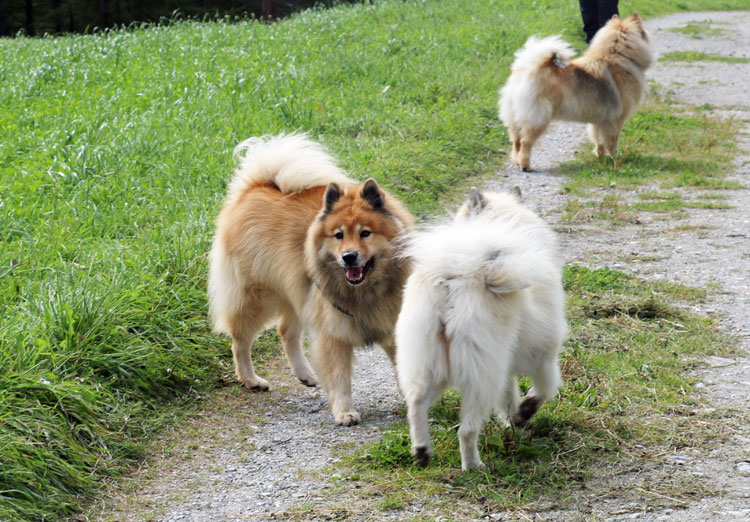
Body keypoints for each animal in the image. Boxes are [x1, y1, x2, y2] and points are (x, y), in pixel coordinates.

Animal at [209, 133, 414, 422]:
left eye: (365, 233)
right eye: (339, 235)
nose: (348, 257)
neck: (366, 290)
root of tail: (256, 186)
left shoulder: (391, 323)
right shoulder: (333, 333)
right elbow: (340, 378)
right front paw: (345, 412)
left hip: (297, 292)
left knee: (286, 332)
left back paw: (305, 374)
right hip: (258, 297)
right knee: (240, 340)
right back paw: (250, 379)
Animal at [396, 186, 568, 468]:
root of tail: (454, 277)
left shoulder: (505, 368)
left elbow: (509, 398)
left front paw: (514, 420)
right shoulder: (544, 355)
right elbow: (544, 389)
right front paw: (525, 413)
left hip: (429, 364)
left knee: (416, 402)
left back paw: (422, 451)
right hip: (480, 377)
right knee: (466, 430)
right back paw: (473, 466)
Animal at [502, 13, 656, 170]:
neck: (618, 56)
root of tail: (527, 68)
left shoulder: (600, 119)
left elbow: (598, 139)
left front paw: (601, 156)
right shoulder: (616, 119)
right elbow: (612, 141)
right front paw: (614, 159)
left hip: (515, 117)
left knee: (516, 141)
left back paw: (517, 161)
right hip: (539, 117)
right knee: (525, 142)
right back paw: (525, 165)